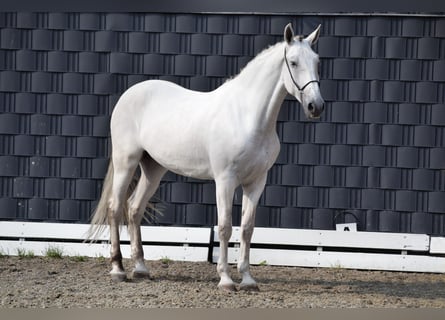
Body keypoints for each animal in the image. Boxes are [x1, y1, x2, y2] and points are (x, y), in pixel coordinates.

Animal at [87, 23, 322, 292]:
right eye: (293, 62)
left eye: (317, 61)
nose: (316, 106)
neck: (246, 116)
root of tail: (128, 95)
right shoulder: (225, 180)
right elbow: (225, 227)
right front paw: (226, 279)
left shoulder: (256, 182)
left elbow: (247, 229)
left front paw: (248, 280)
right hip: (126, 162)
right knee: (116, 207)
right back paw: (118, 268)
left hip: (153, 168)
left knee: (135, 208)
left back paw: (141, 268)